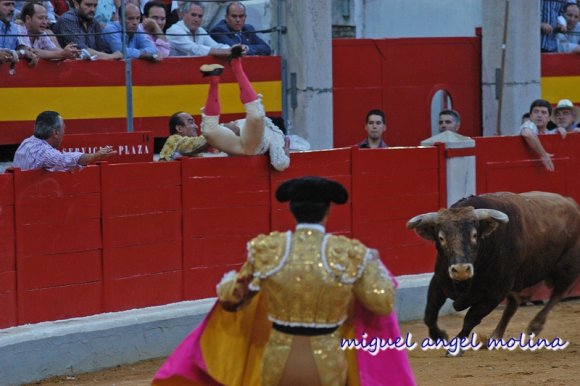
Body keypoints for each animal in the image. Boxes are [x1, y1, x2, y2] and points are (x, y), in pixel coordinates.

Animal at [408, 191, 580, 346]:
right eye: (441, 238)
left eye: (474, 235)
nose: (462, 270)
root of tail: (571, 203)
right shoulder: (438, 282)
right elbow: (429, 314)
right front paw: (440, 336)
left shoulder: (495, 293)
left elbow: (471, 318)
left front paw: (455, 348)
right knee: (514, 302)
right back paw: (496, 336)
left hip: (567, 269)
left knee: (558, 293)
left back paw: (534, 327)